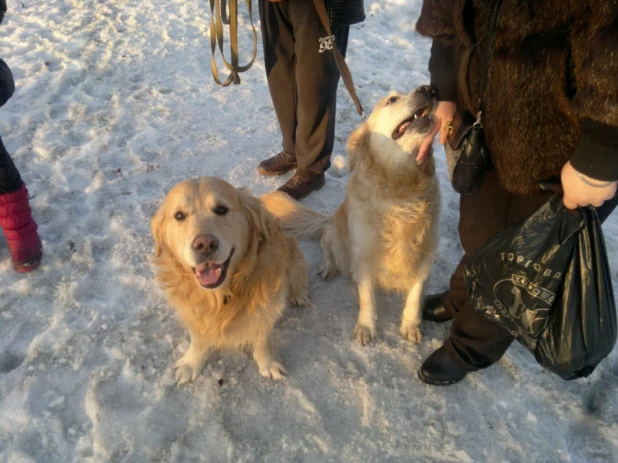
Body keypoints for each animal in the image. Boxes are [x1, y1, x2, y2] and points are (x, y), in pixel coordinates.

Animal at [152, 178, 310, 384]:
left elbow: (262, 338)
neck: (221, 296)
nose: (204, 244)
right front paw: (191, 363)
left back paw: (299, 295)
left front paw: (268, 363)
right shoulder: (193, 312)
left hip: (292, 252)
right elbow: (198, 338)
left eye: (221, 209)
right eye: (179, 215)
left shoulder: (267, 306)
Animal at [262, 87, 440, 346]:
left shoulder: (426, 257)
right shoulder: (364, 256)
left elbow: (416, 296)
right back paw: (328, 266)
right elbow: (368, 298)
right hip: (337, 237)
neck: (400, 191)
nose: (428, 89)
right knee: (325, 240)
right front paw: (366, 327)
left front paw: (410, 326)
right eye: (392, 99)